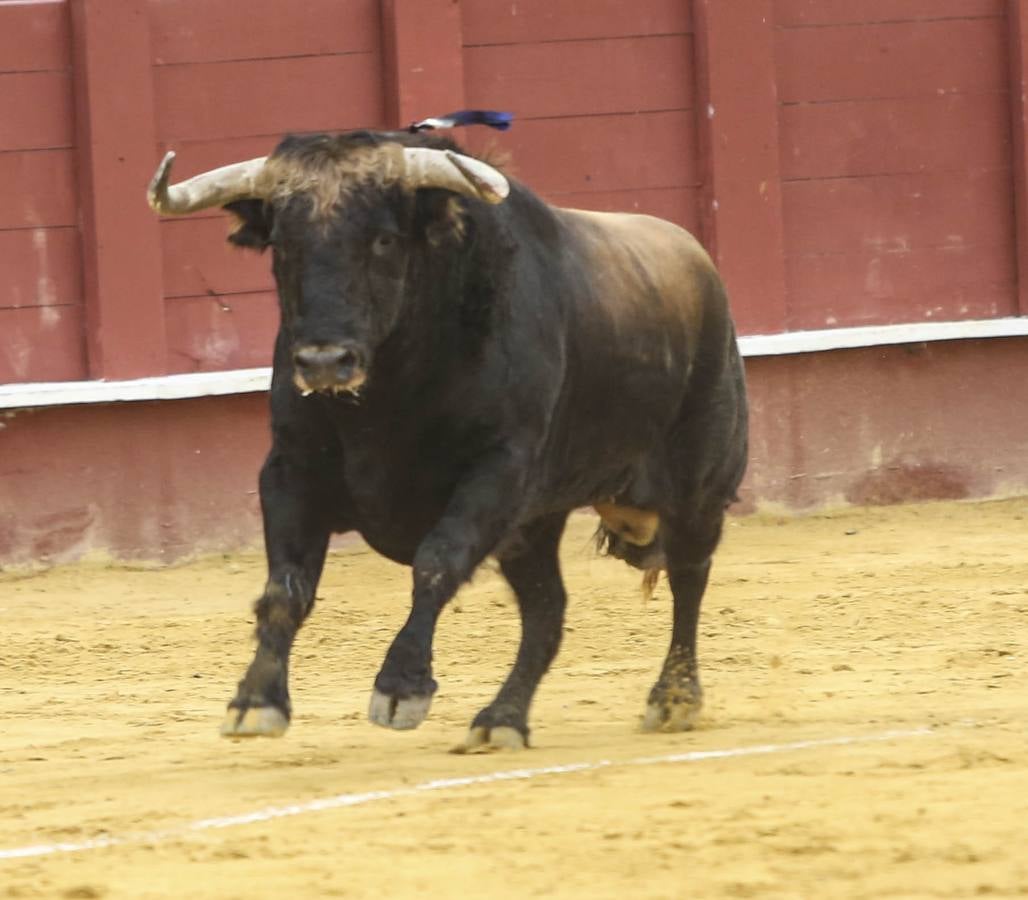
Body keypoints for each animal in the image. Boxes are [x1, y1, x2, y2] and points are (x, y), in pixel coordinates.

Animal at [147, 123, 748, 748]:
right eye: (283, 246)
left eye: (385, 240)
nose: (323, 361)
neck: (389, 395)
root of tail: (700, 264)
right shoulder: (290, 470)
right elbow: (286, 586)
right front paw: (256, 701)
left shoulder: (498, 471)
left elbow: (436, 560)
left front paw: (400, 687)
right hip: (533, 527)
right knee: (547, 609)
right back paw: (502, 719)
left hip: (699, 486)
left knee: (689, 578)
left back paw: (674, 698)